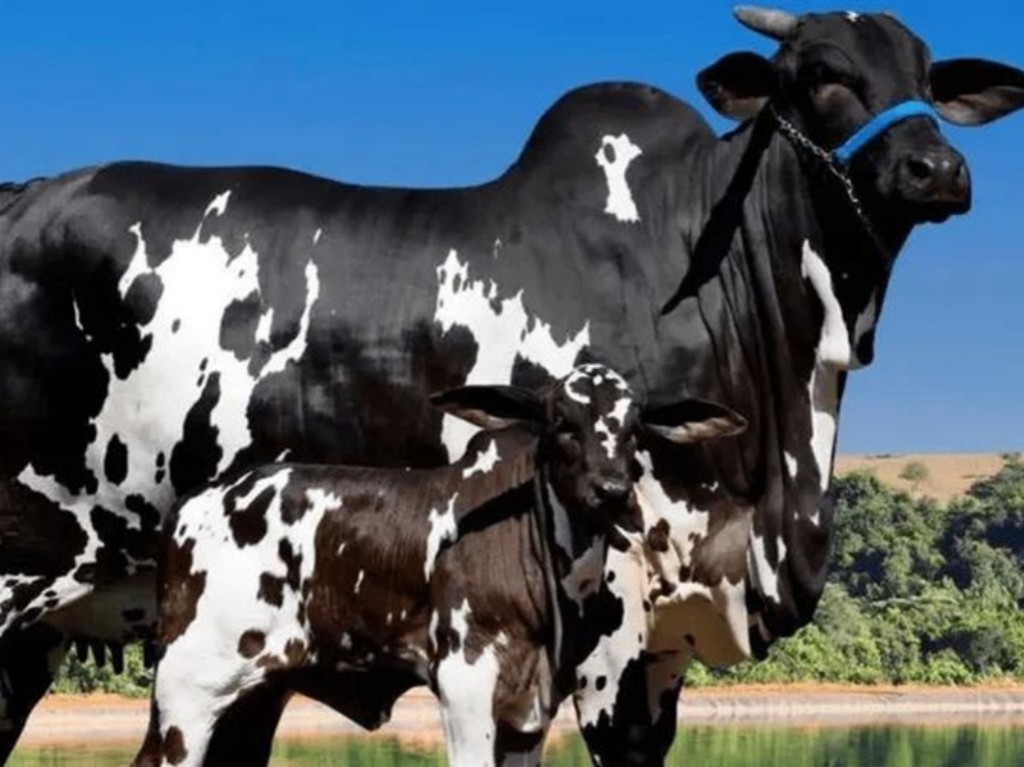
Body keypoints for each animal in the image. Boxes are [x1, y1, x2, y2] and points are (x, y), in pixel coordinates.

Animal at [131, 364, 746, 767]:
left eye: (634, 428)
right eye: (561, 422)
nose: (613, 492)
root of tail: (196, 503)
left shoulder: (530, 712)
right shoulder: (464, 683)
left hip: (252, 699)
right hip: (186, 692)